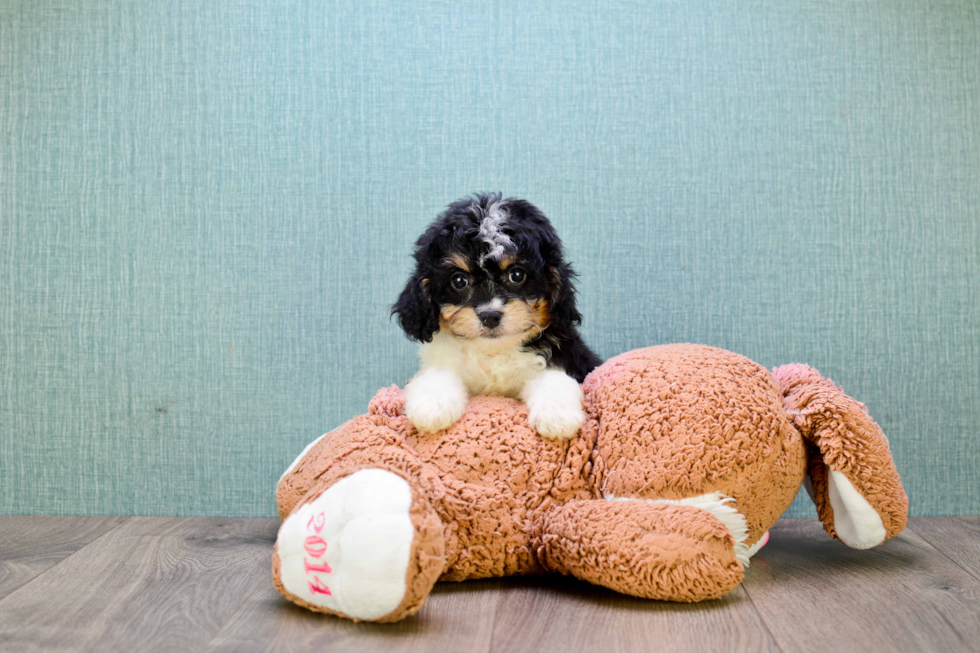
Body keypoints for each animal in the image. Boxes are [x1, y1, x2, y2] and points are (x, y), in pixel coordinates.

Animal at [394, 192, 600, 438]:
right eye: (459, 281)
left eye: (517, 275)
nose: (490, 315)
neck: (493, 353)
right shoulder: (443, 360)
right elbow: (436, 375)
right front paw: (432, 406)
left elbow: (554, 379)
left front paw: (558, 416)